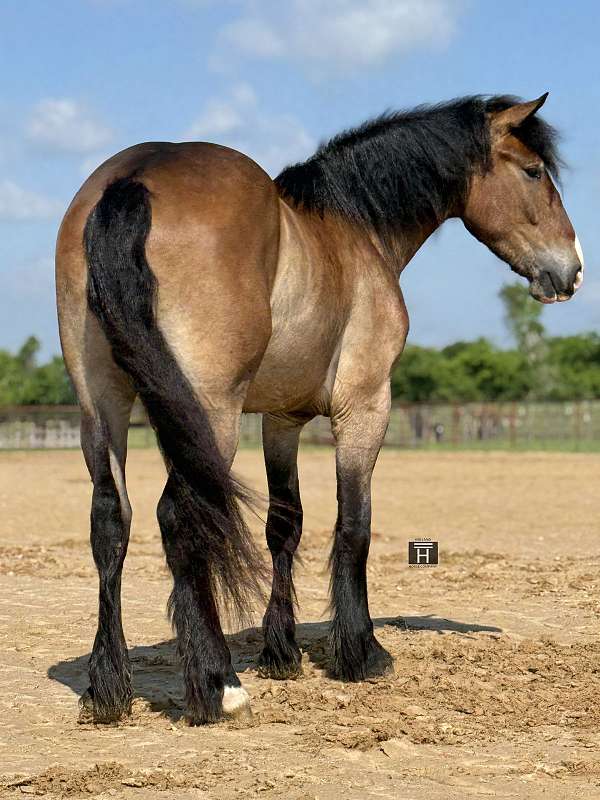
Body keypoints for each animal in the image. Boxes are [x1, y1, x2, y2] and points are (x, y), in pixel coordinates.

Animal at [55, 93, 583, 726]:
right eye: (533, 172)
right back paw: (217, 684)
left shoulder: (280, 419)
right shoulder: (366, 404)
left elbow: (286, 526)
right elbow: (354, 523)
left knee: (111, 520)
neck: (355, 230)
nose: (572, 269)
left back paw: (108, 688)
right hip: (208, 413)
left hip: (103, 407)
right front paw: (360, 652)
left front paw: (281, 652)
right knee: (182, 518)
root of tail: (133, 179)